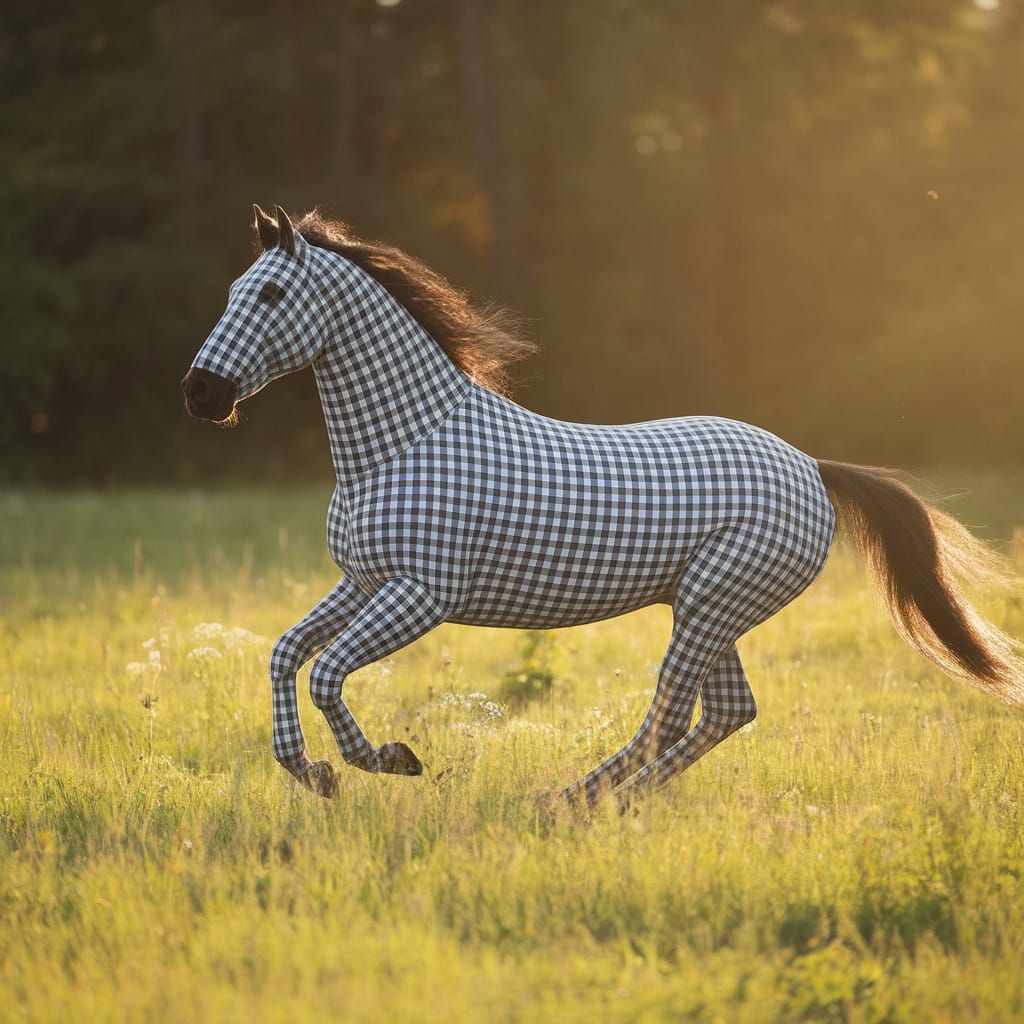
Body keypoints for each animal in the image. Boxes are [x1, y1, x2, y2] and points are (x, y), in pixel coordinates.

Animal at [182, 204, 1023, 812]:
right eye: (230, 293)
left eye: (271, 294)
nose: (201, 393)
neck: (404, 442)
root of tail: (813, 469)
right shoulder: (360, 582)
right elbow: (286, 653)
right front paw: (312, 772)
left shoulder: (421, 593)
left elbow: (326, 672)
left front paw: (387, 760)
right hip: (710, 609)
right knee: (725, 713)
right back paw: (590, 802)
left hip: (711, 604)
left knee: (674, 714)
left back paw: (569, 803)